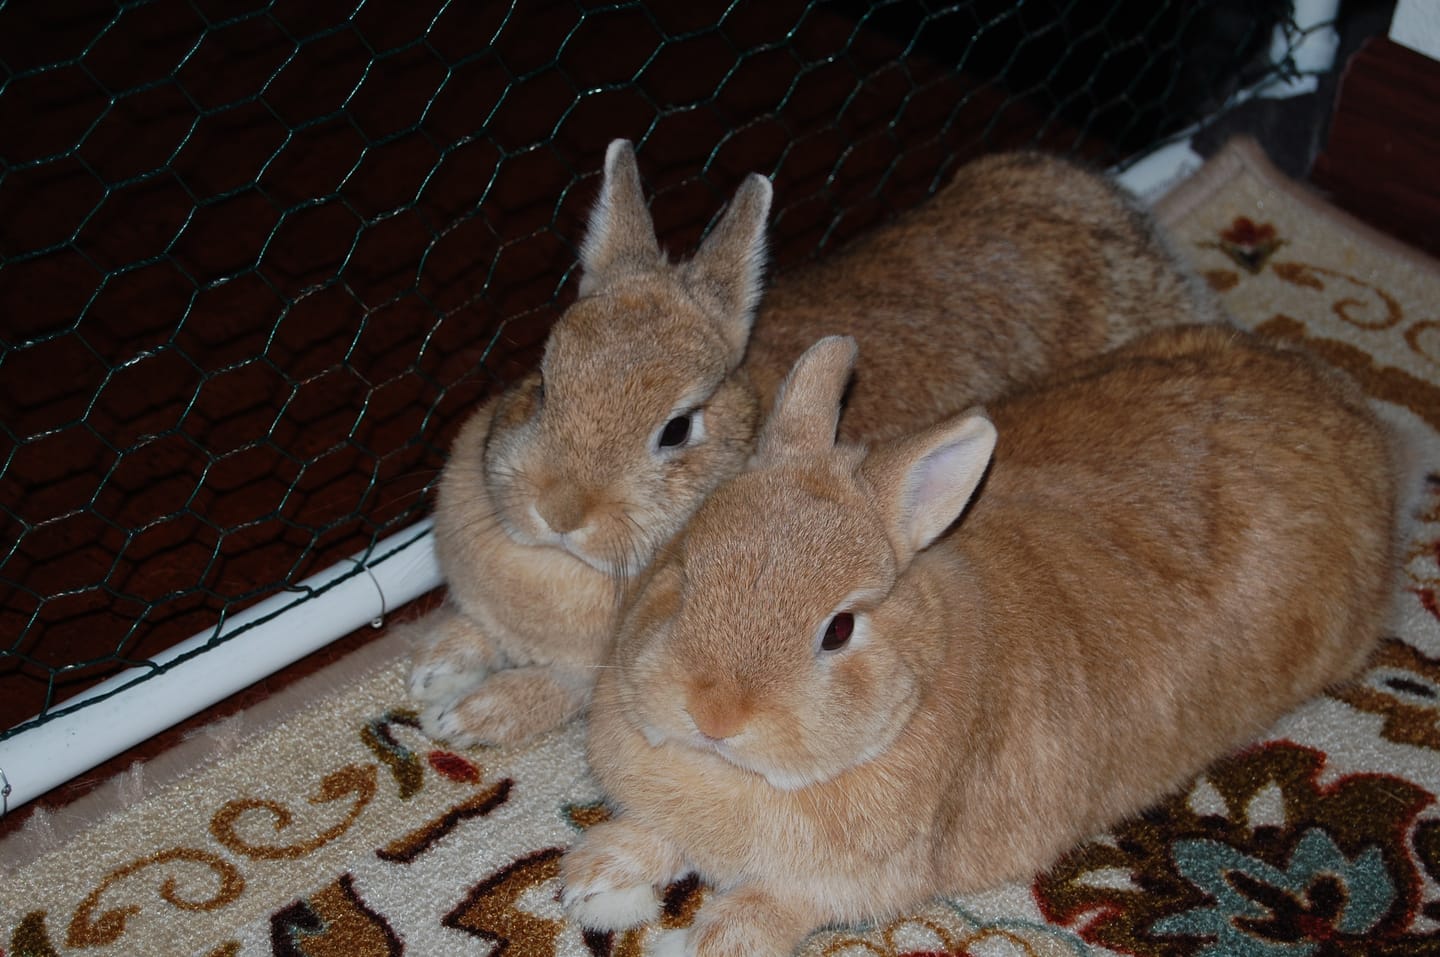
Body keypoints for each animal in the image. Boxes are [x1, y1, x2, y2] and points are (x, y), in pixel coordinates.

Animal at [405, 137, 1225, 748]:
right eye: (545, 382)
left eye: (677, 427)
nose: (559, 510)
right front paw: (432, 669)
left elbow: (551, 690)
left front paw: (465, 717)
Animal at [559, 327, 1400, 957]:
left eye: (838, 628)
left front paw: (695, 937)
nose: (714, 714)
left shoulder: (845, 885)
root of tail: (1349, 411)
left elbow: (762, 911)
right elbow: (655, 834)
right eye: (687, 569)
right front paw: (592, 878)